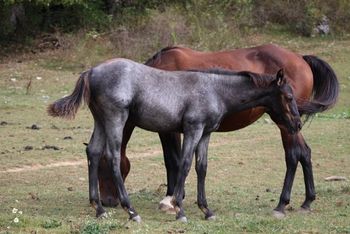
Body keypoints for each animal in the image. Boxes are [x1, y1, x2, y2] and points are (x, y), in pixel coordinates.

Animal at [47, 57, 302, 222]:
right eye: (289, 97)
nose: (298, 124)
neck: (214, 90)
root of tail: (91, 71)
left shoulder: (205, 133)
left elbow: (201, 167)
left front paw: (206, 210)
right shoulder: (192, 129)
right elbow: (185, 164)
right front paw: (179, 210)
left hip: (101, 120)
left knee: (93, 151)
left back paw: (99, 209)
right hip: (115, 119)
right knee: (112, 156)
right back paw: (131, 211)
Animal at [97, 43, 338, 218]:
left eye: (103, 169)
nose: (108, 201)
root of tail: (300, 58)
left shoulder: (170, 130)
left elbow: (173, 161)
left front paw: (171, 200)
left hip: (285, 125)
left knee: (293, 155)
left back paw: (281, 204)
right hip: (288, 124)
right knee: (304, 153)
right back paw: (307, 201)